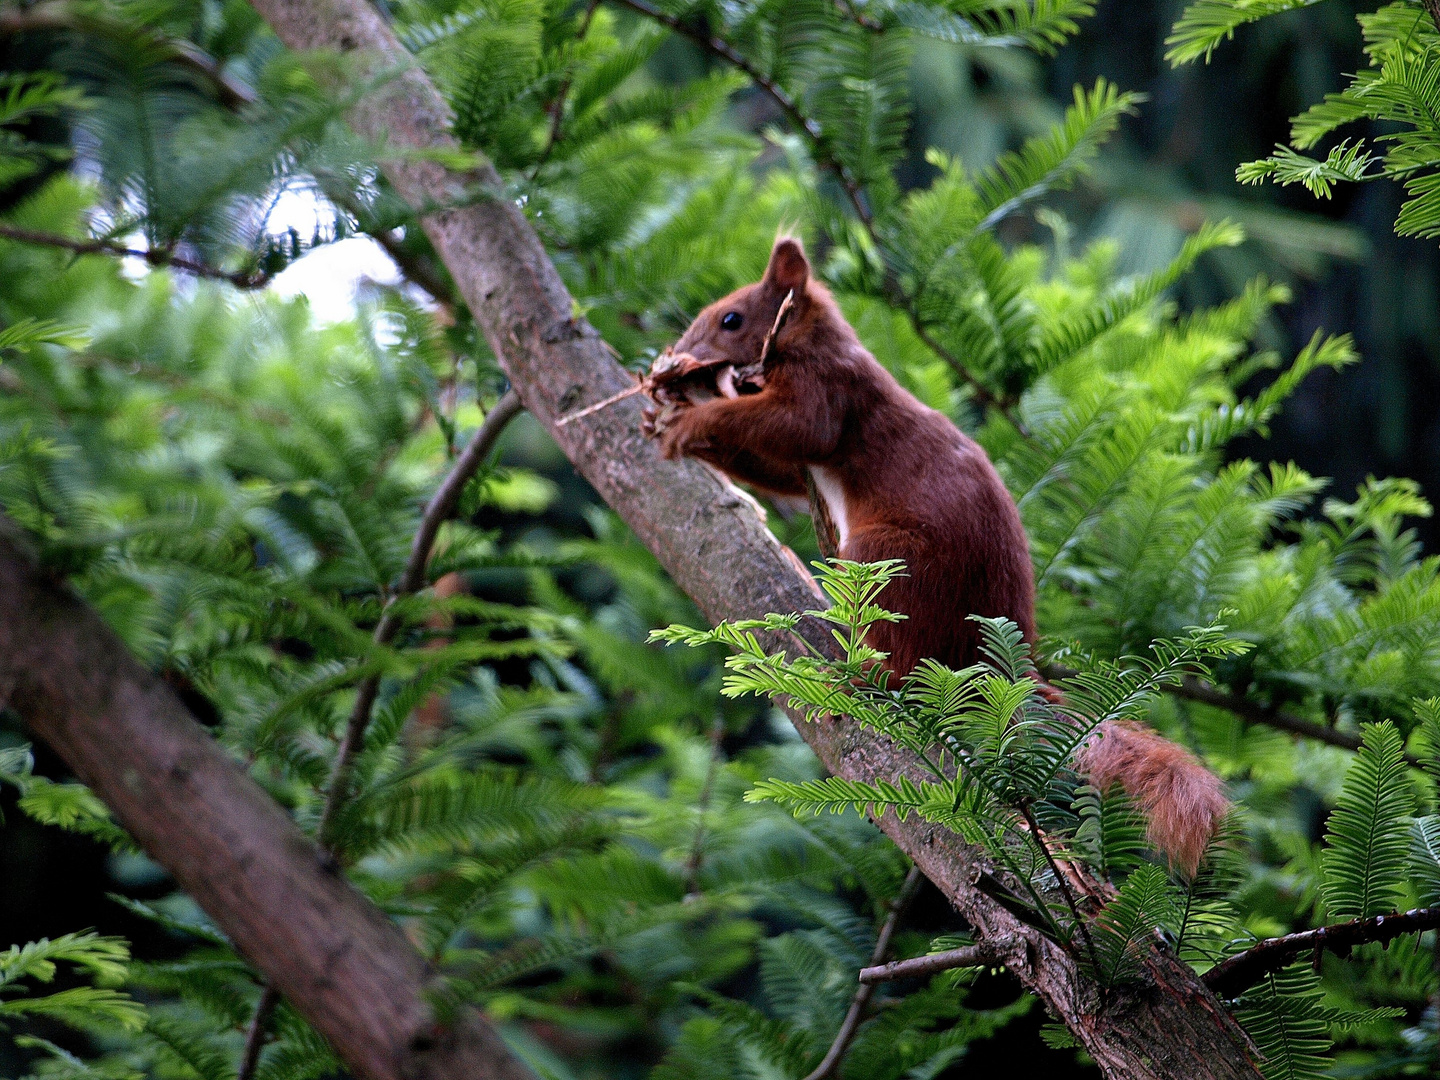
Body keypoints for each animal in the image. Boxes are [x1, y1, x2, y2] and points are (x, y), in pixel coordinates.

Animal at [653, 236, 1226, 881]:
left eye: (731, 319)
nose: (678, 358)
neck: (816, 340)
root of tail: (996, 658)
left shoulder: (829, 390)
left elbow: (795, 427)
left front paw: (692, 417)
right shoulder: (802, 458)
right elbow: (775, 467)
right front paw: (665, 423)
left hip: (888, 563)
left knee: (899, 666)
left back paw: (856, 675)